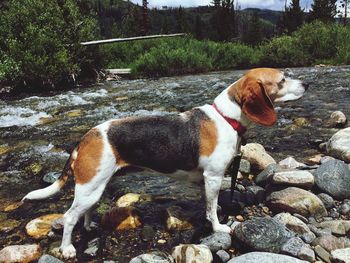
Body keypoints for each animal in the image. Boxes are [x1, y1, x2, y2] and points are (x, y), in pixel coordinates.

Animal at [21, 68, 308, 260]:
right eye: (282, 80)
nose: (306, 83)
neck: (227, 117)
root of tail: (87, 135)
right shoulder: (214, 177)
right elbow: (212, 209)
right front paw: (217, 226)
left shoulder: (205, 180)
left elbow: (206, 205)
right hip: (90, 186)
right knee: (69, 217)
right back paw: (67, 248)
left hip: (95, 186)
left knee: (86, 211)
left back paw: (90, 226)